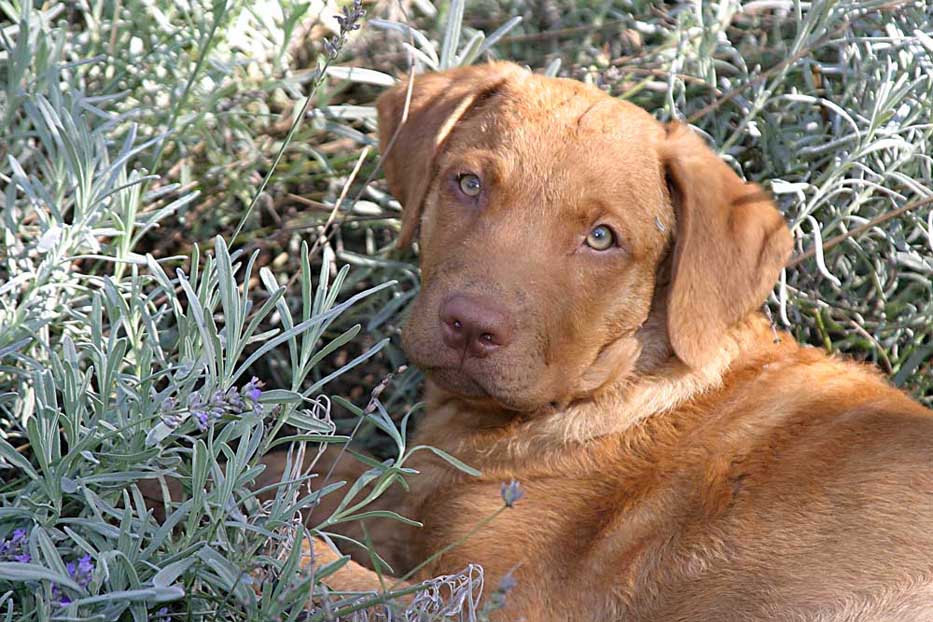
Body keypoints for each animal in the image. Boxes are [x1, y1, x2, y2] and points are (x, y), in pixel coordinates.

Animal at [312, 61, 932, 620]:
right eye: (469, 183)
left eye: (601, 237)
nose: (469, 325)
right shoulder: (410, 509)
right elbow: (328, 472)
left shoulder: (484, 598)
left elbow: (325, 568)